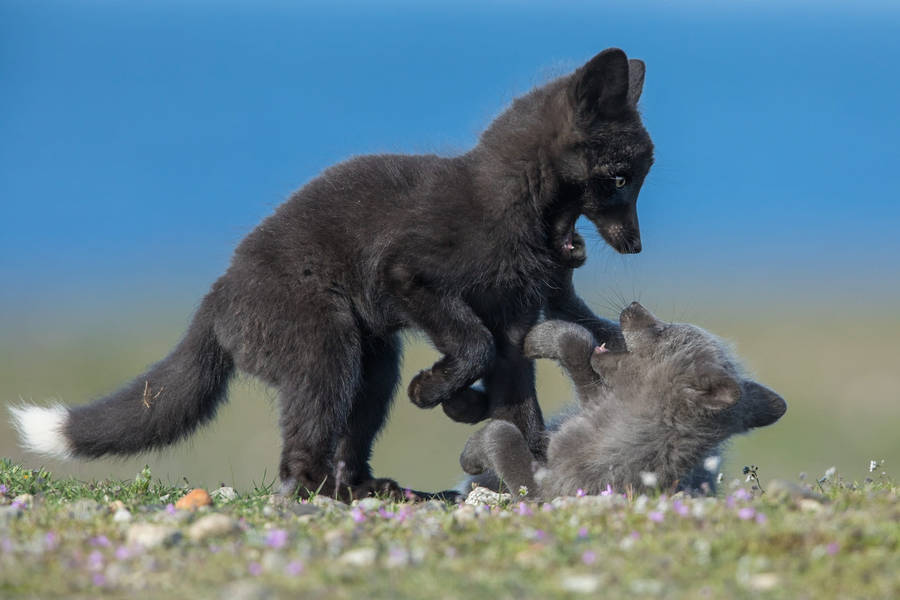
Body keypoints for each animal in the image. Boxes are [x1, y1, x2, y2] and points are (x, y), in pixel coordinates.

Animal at [11, 49, 654, 501]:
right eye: (621, 179)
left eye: (639, 178)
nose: (637, 245)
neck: (507, 206)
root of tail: (215, 300)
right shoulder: (408, 274)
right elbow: (471, 344)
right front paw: (435, 391)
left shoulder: (516, 331)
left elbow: (519, 410)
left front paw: (531, 471)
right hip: (329, 350)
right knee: (296, 459)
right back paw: (321, 491)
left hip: (373, 366)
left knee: (349, 444)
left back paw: (372, 491)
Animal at [459, 302, 787, 500]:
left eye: (662, 329)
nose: (633, 306)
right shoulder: (595, 403)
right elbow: (577, 344)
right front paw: (540, 338)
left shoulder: (548, 490)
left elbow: (502, 436)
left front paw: (471, 457)